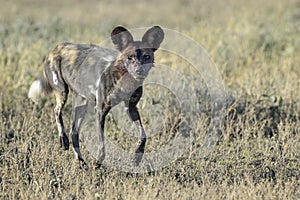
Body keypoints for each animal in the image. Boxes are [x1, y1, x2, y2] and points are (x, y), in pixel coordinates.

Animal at [27, 25, 164, 166]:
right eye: (129, 57)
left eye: (147, 56)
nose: (138, 71)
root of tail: (57, 47)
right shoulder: (101, 110)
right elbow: (102, 142)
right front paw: (98, 162)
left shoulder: (131, 107)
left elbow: (143, 135)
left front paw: (137, 157)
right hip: (62, 91)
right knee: (56, 111)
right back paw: (63, 139)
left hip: (81, 105)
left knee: (74, 133)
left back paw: (81, 162)